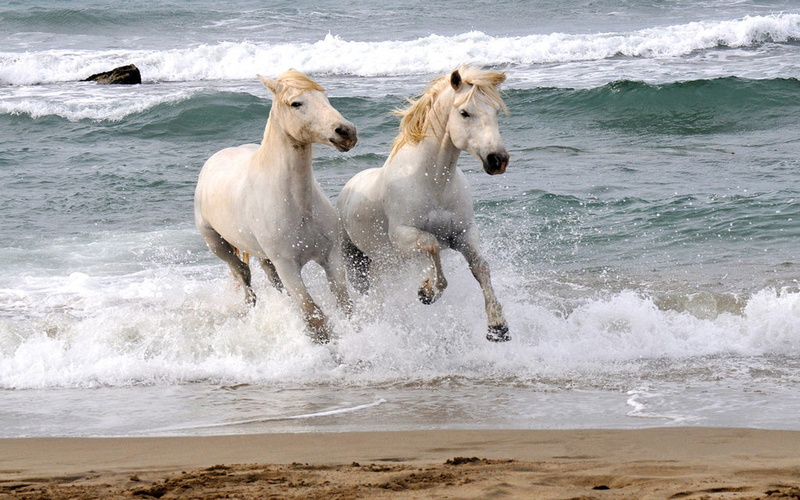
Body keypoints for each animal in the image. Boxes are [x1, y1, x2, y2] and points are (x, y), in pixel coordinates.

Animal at [194, 69, 357, 344]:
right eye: (296, 103)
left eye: (325, 97)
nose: (346, 132)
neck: (299, 206)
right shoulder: (288, 266)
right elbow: (314, 317)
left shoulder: (331, 257)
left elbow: (346, 306)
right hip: (216, 243)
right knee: (243, 273)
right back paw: (250, 307)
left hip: (263, 254)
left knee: (270, 279)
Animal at [336, 65, 511, 342]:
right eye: (465, 112)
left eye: (495, 111)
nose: (497, 160)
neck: (434, 182)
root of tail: (347, 190)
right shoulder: (403, 235)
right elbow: (431, 245)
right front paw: (427, 292)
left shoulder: (464, 234)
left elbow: (481, 268)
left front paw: (497, 327)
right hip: (357, 265)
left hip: (389, 264)